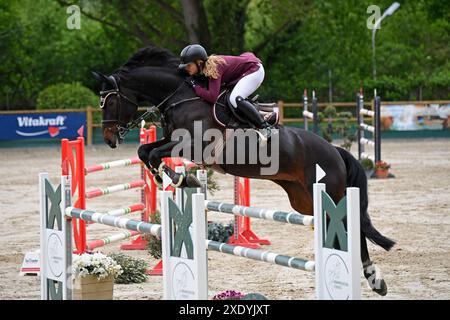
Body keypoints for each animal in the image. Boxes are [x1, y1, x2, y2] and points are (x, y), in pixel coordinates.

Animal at [93, 44, 396, 296]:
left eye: (109, 101)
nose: (109, 139)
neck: (182, 97)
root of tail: (335, 152)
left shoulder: (193, 145)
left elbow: (154, 153)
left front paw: (180, 178)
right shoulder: (172, 140)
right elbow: (145, 151)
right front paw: (170, 177)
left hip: (329, 193)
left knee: (353, 229)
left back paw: (374, 280)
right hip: (304, 201)